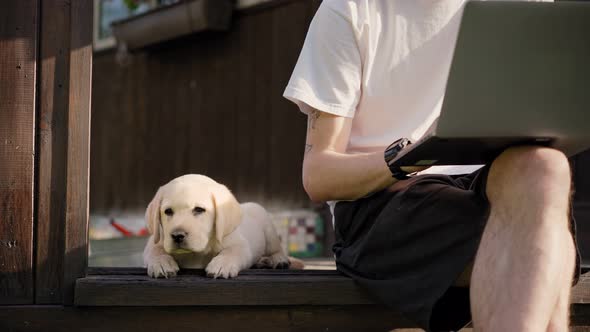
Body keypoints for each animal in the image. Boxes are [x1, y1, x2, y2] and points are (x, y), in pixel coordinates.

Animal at [143, 174, 296, 278]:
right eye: (168, 211)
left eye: (199, 209)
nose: (177, 236)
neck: (196, 253)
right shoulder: (155, 241)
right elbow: (155, 251)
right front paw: (161, 263)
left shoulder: (240, 244)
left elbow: (231, 251)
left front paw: (222, 265)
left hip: (268, 229)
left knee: (277, 249)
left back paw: (277, 259)